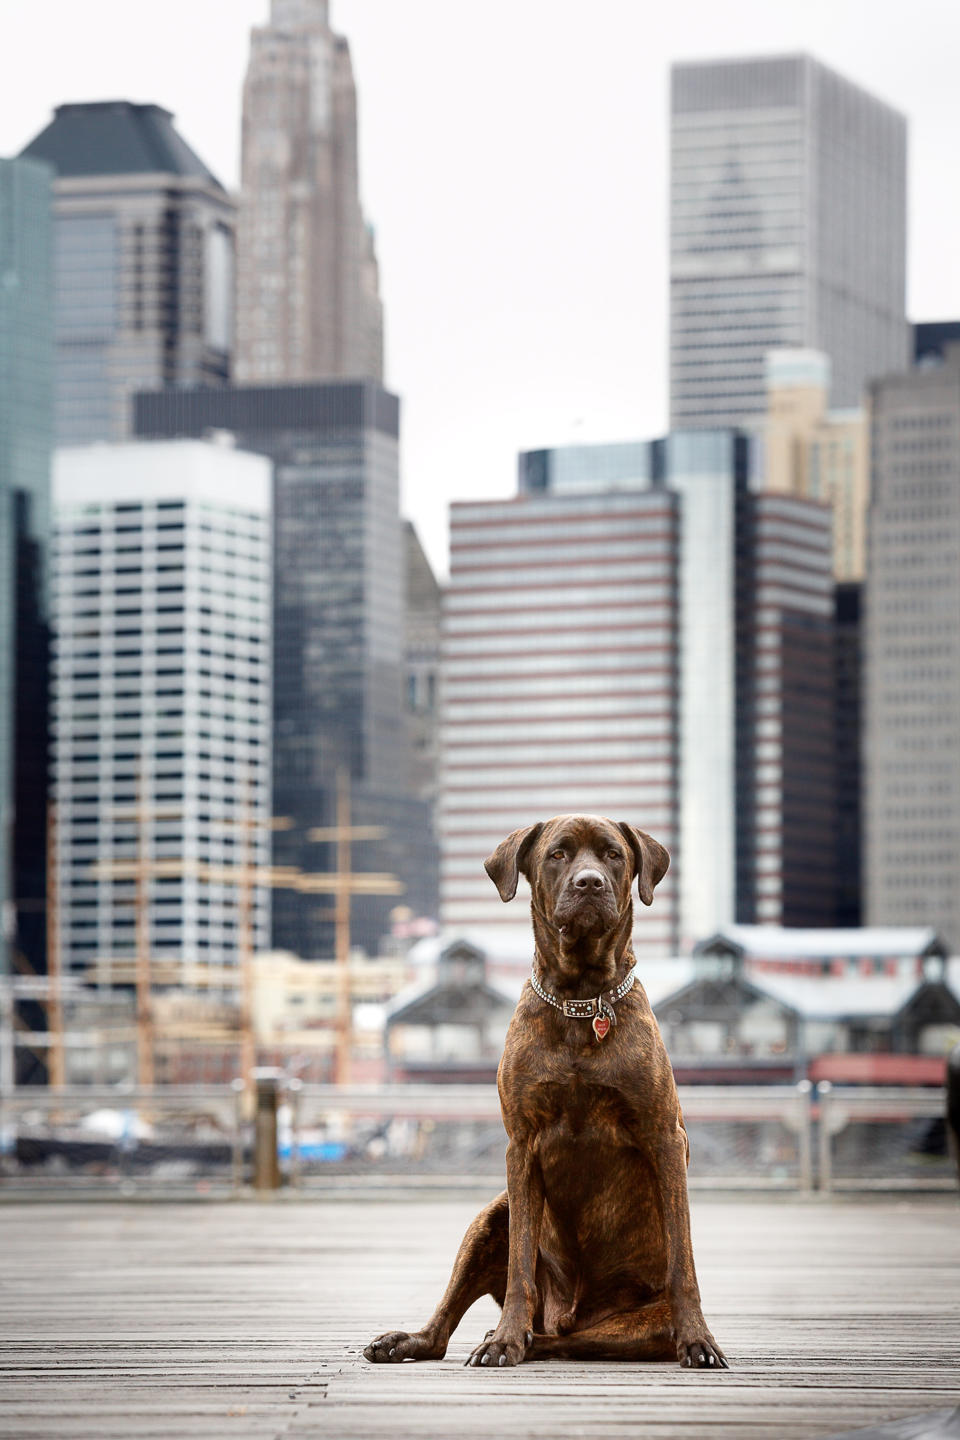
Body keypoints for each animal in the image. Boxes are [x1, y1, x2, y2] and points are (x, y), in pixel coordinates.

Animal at [364, 817, 725, 1365]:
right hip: (492, 1215)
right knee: (448, 1328)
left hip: (634, 1325)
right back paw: (436, 1339)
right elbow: (520, 1266)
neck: (581, 1000)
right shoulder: (521, 1146)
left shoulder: (665, 1138)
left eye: (613, 854)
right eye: (557, 855)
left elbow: (682, 1260)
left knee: (570, 1341)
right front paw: (506, 1337)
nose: (589, 883)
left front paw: (699, 1339)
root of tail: (564, 1313)